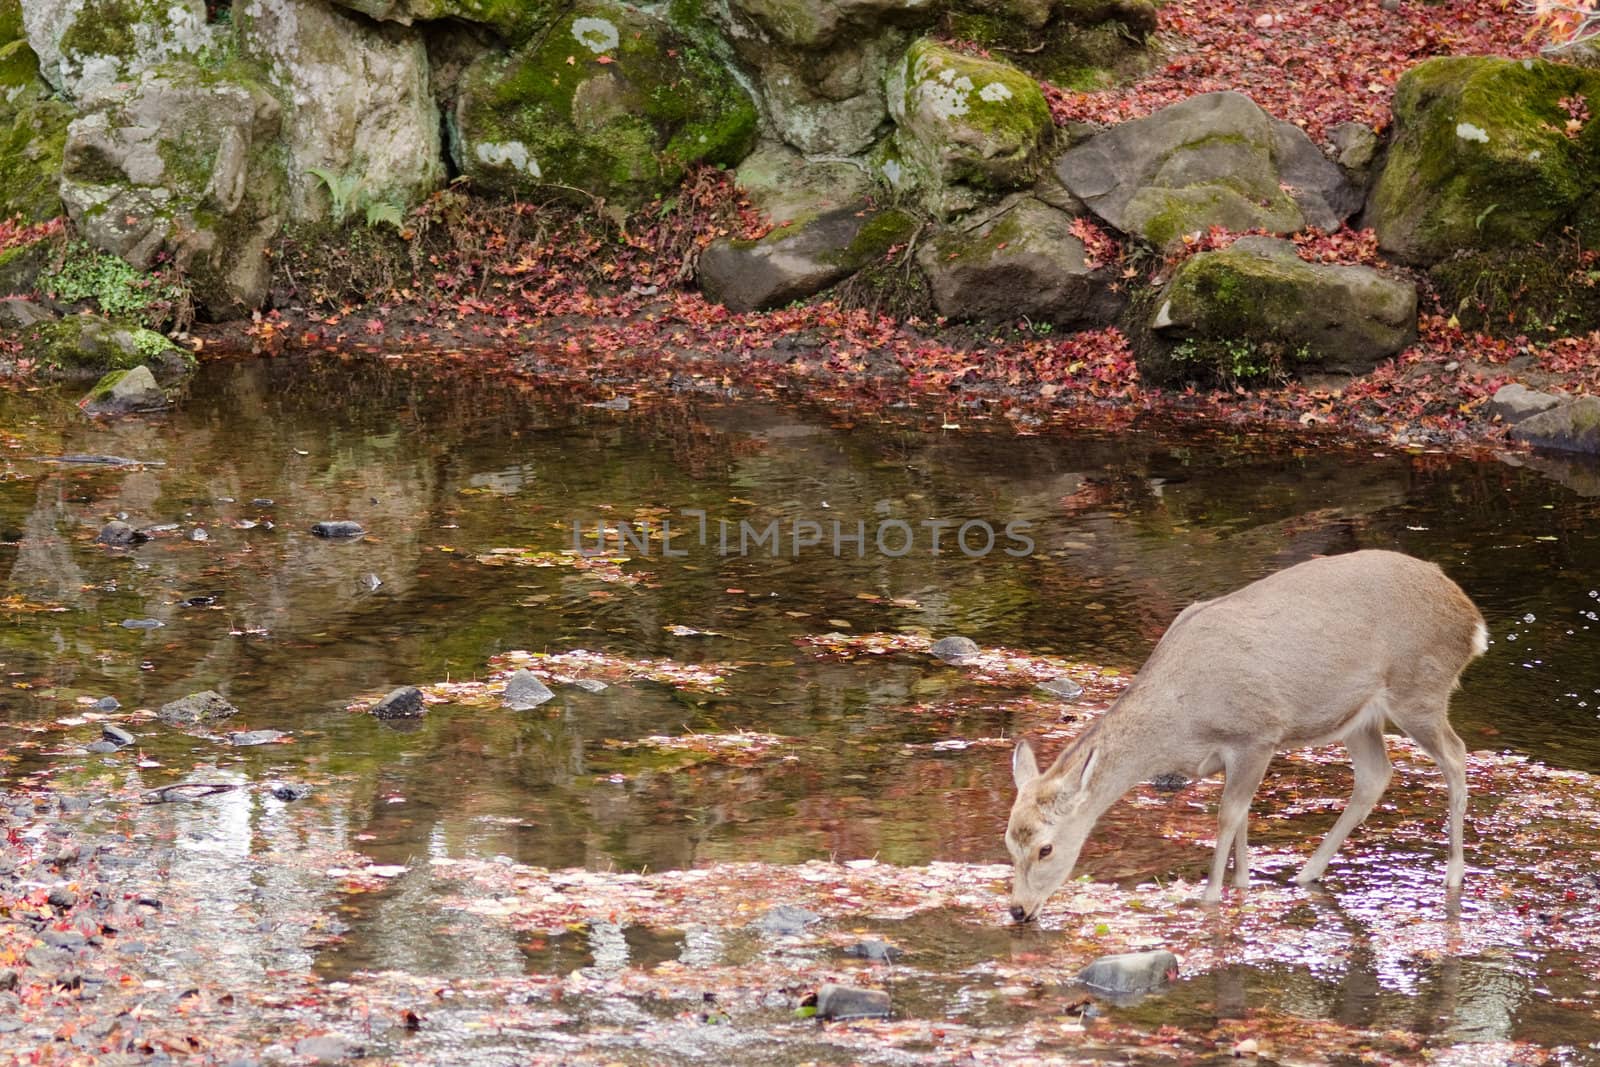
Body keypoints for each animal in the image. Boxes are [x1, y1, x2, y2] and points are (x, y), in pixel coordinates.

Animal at [1011, 547, 1484, 921]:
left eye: (1046, 848)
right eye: (1009, 842)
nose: (1017, 909)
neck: (1181, 720)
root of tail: (1472, 619)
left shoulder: (1257, 733)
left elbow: (1227, 816)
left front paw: (1210, 895)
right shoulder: (1233, 754)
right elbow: (1241, 817)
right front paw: (1241, 883)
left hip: (1419, 689)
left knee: (1457, 754)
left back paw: (1453, 873)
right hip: (1360, 716)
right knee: (1375, 775)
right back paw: (1308, 872)